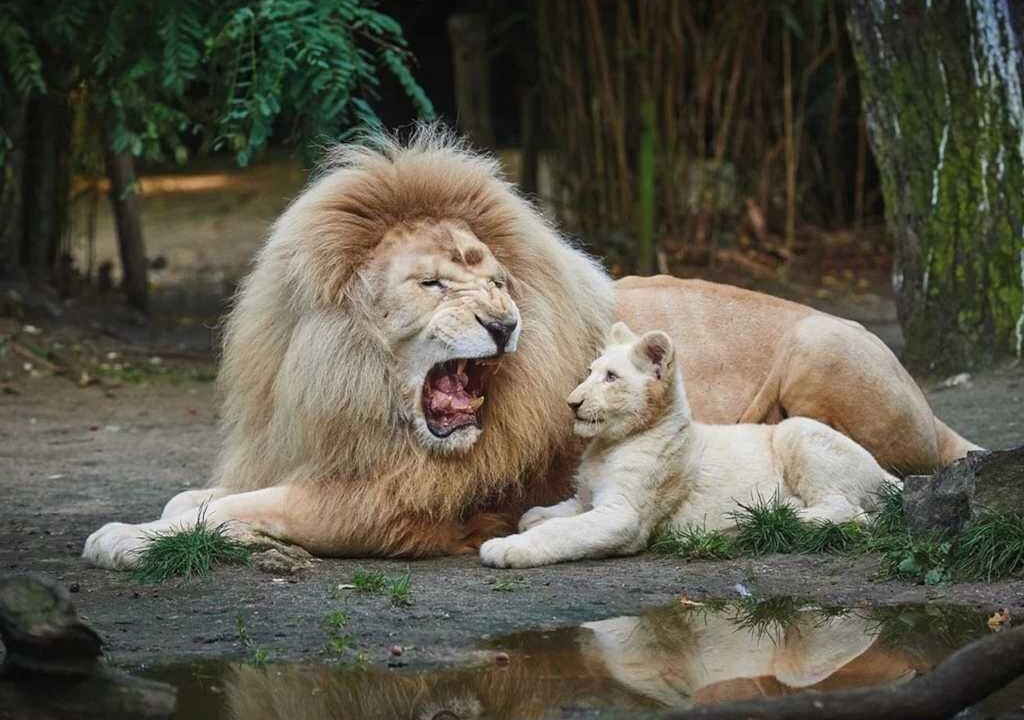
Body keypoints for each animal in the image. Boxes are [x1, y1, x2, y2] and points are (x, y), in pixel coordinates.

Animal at [480, 322, 899, 568]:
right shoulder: (587, 499)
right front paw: (534, 517)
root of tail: (883, 471)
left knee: (851, 514)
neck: (607, 445)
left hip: (796, 432)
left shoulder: (624, 515)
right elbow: (543, 515)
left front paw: (503, 548)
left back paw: (764, 518)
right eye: (589, 373)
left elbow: (565, 533)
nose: (572, 402)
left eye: (611, 377)